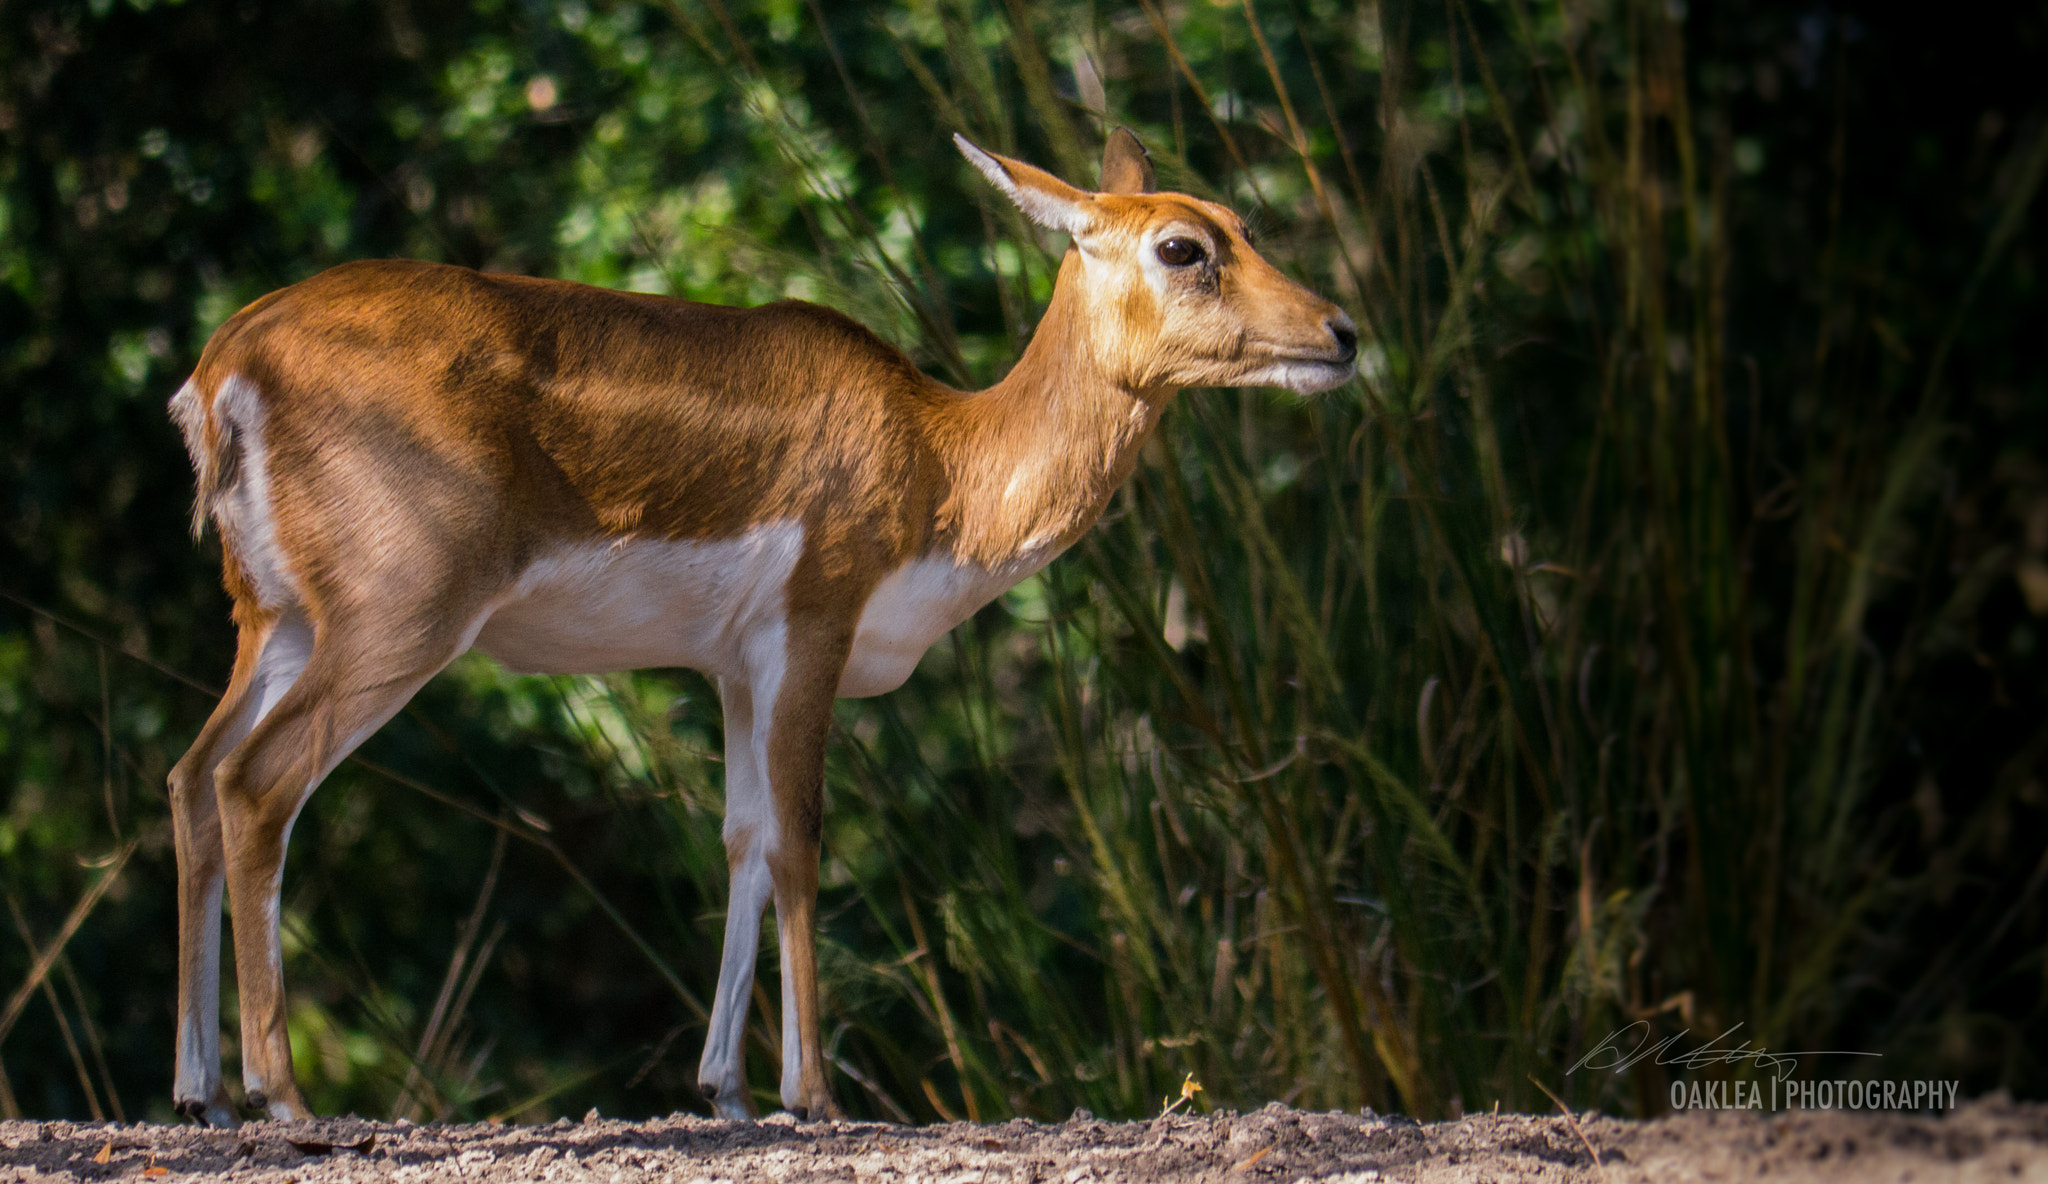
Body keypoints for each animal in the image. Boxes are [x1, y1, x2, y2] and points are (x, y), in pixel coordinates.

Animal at [165, 129, 1356, 1126]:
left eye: (1241, 221)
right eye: (1182, 245)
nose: (1340, 334)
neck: (946, 464)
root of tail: (222, 368)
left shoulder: (732, 664)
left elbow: (739, 833)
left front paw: (725, 1088)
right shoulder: (811, 622)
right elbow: (800, 834)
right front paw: (812, 1094)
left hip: (274, 620)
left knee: (192, 774)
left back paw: (203, 1093)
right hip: (398, 619)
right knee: (257, 784)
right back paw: (283, 1096)